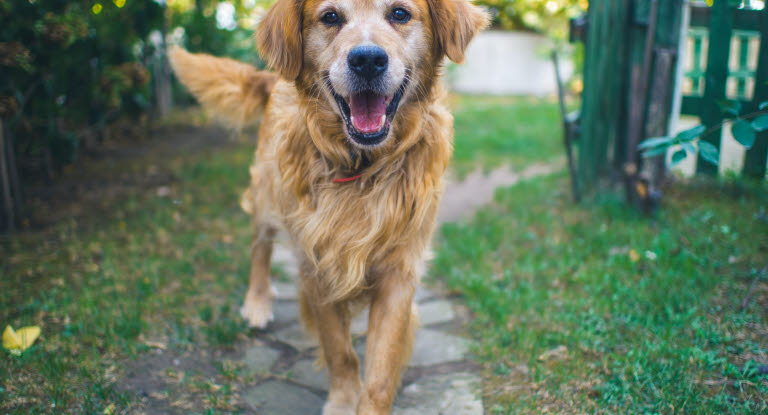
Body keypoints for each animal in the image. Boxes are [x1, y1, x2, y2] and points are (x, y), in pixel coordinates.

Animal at [172, 1, 488, 414]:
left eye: (400, 14)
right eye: (331, 17)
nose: (367, 60)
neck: (362, 166)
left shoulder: (399, 271)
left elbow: (380, 370)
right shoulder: (316, 264)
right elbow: (340, 350)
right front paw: (342, 400)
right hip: (267, 194)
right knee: (260, 246)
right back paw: (257, 302)